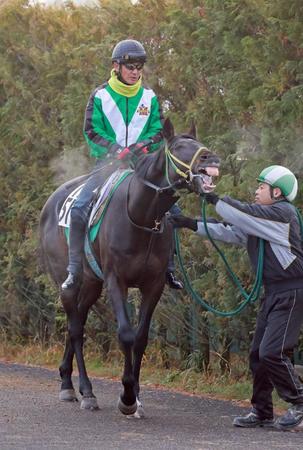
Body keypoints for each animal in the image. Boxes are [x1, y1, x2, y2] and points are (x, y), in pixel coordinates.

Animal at [39, 118, 221, 416]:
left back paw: (67, 379)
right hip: (67, 281)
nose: (211, 158)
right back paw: (84, 391)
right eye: (178, 147)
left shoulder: (154, 285)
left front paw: (136, 396)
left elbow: (141, 338)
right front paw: (125, 397)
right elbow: (125, 334)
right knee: (76, 329)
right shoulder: (117, 281)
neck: (140, 215)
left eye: (199, 142)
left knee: (77, 320)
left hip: (92, 283)